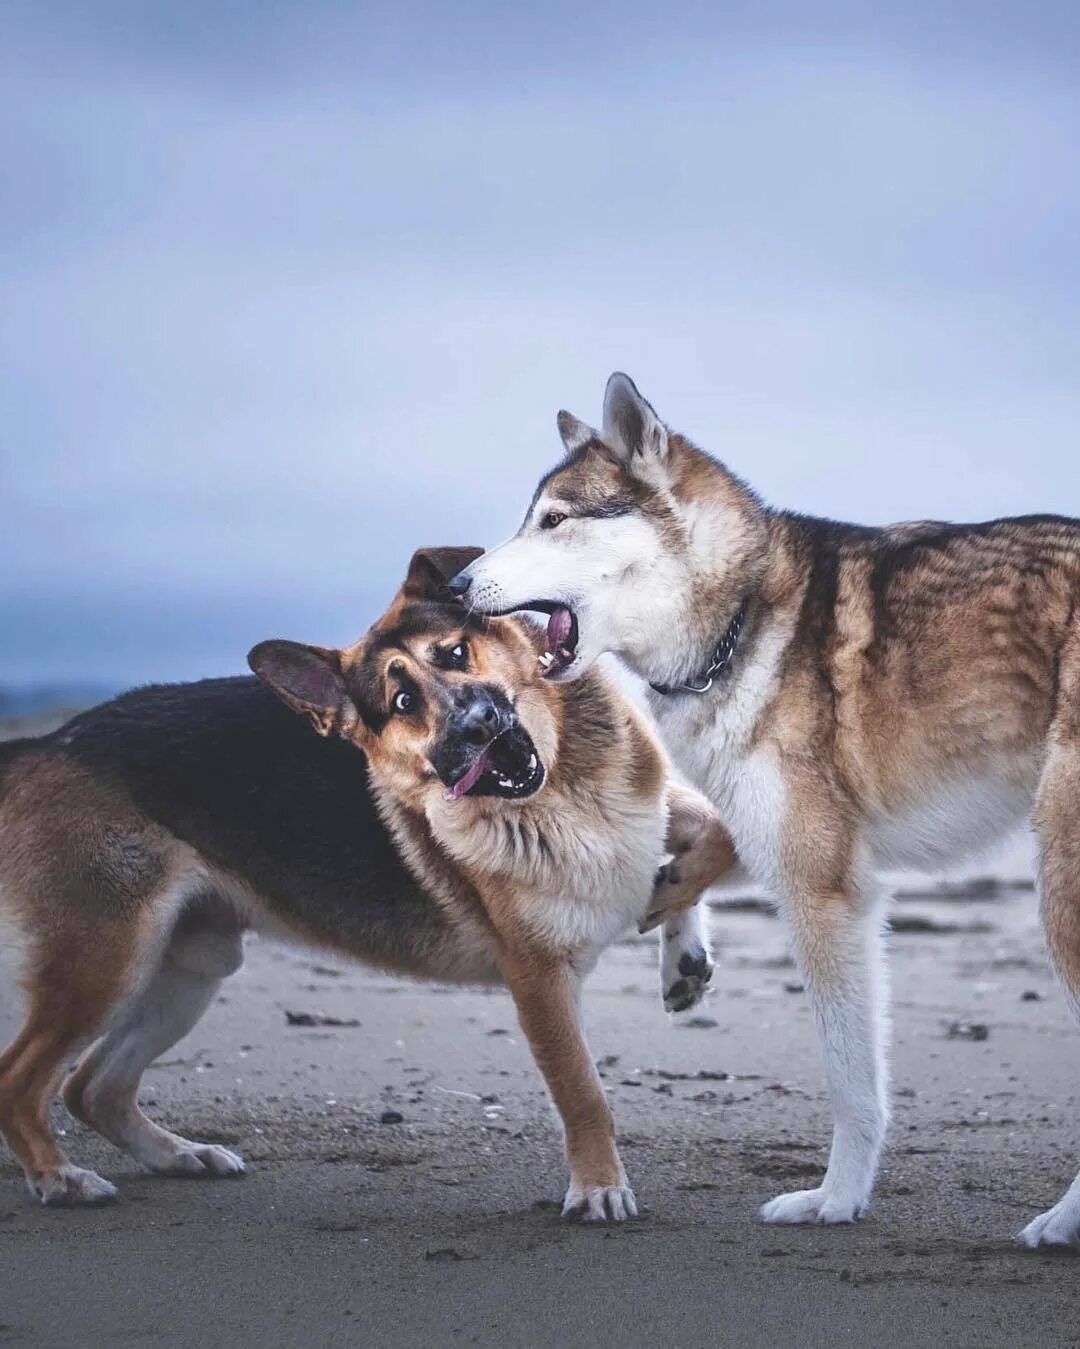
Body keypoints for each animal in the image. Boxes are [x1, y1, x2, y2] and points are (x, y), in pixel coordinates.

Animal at [0, 542, 733, 1219]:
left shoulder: (657, 808)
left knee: (91, 1087)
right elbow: (583, 1090)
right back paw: (60, 1177)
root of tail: (48, 742)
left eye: (456, 653)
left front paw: (679, 938)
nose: (476, 727)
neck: (565, 787)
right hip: (107, 962)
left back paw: (178, 1155)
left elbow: (715, 837)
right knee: (22, 1079)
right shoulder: (539, 978)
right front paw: (600, 1185)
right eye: (402, 701)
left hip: (190, 966)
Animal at [447, 375, 1080, 1246]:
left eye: (554, 519)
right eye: (530, 516)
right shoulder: (778, 837)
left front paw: (836, 1199)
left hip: (1058, 888)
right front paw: (676, 934)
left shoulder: (824, 888)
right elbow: (688, 858)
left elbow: (851, 1079)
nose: (456, 587)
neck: (741, 618)